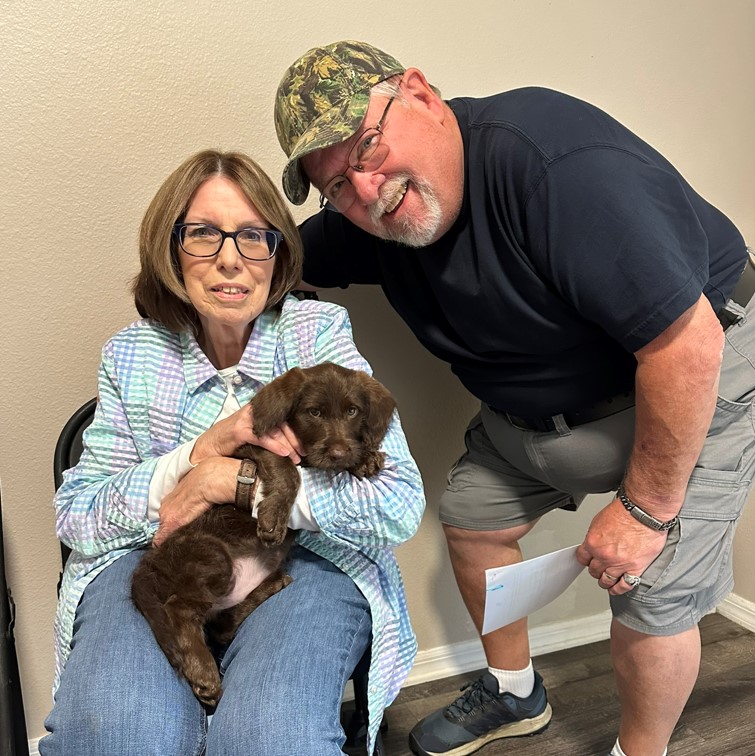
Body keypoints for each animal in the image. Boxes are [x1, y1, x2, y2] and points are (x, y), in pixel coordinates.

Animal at [131, 364, 398, 708]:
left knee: (220, 626)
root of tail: (146, 570)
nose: (338, 452)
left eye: (352, 411)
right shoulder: (258, 445)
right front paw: (272, 518)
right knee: (181, 608)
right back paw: (204, 674)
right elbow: (289, 469)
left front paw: (364, 457)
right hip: (210, 557)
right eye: (314, 412)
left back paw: (273, 585)